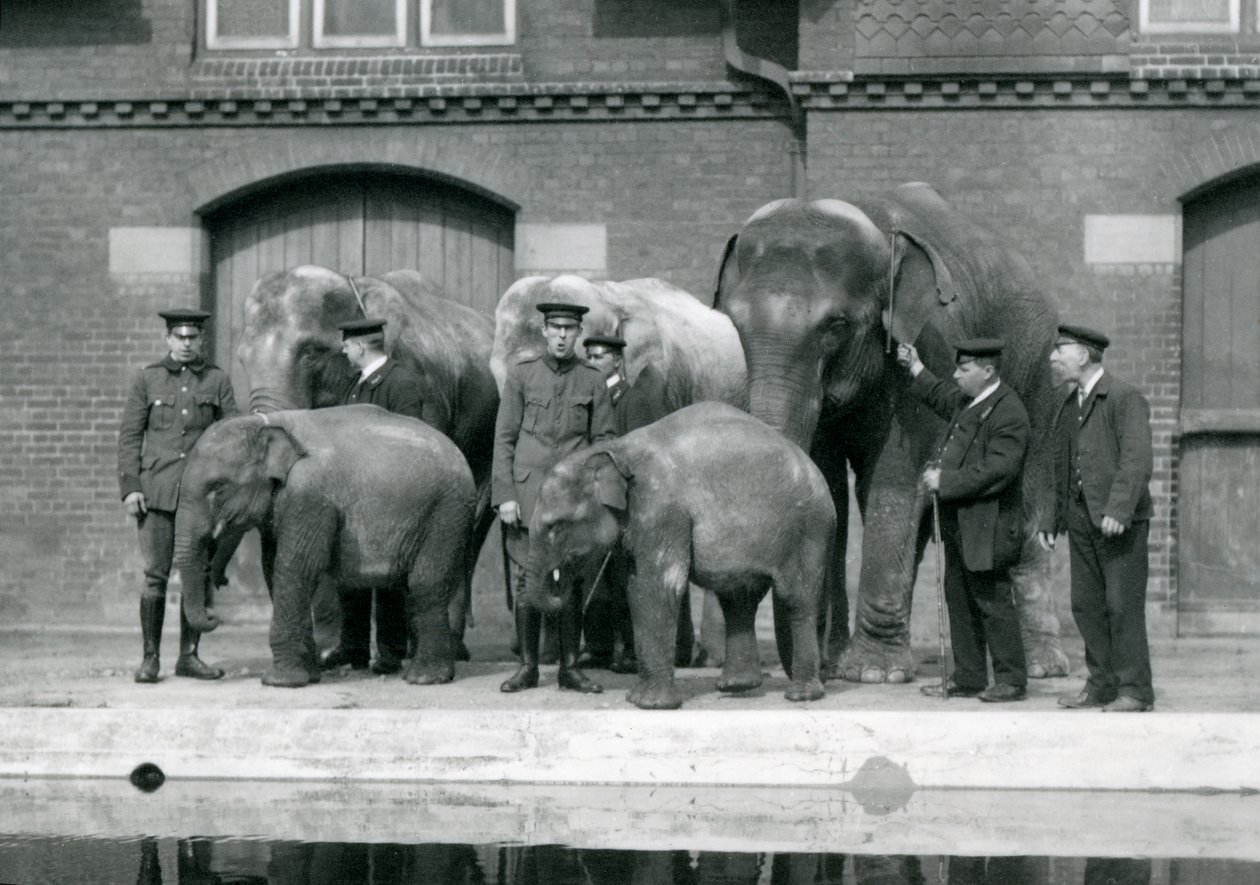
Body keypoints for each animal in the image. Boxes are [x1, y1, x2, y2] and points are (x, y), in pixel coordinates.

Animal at [172, 405, 473, 690]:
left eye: (218, 487)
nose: (213, 614)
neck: (266, 423)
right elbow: (272, 568)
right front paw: (310, 676)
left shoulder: (309, 496)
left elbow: (294, 568)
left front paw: (280, 682)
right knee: (421, 586)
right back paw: (427, 672)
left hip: (446, 512)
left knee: (425, 582)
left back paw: (424, 677)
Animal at [236, 264, 496, 660]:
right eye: (241, 360)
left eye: (311, 353)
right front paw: (337, 655)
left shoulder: (423, 391)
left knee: (470, 528)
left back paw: (445, 648)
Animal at [516, 405, 831, 711]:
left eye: (556, 526)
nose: (563, 578)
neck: (617, 450)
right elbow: (636, 589)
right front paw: (637, 699)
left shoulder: (661, 510)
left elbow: (657, 586)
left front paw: (651, 705)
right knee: (738, 600)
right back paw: (736, 687)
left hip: (808, 530)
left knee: (795, 598)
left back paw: (801, 696)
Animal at [715, 181, 1068, 685]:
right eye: (735, 323)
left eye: (836, 326)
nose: (810, 671)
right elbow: (830, 488)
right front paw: (836, 667)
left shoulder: (934, 340)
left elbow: (894, 481)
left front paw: (873, 674)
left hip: (1037, 370)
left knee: (1030, 492)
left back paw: (1042, 667)